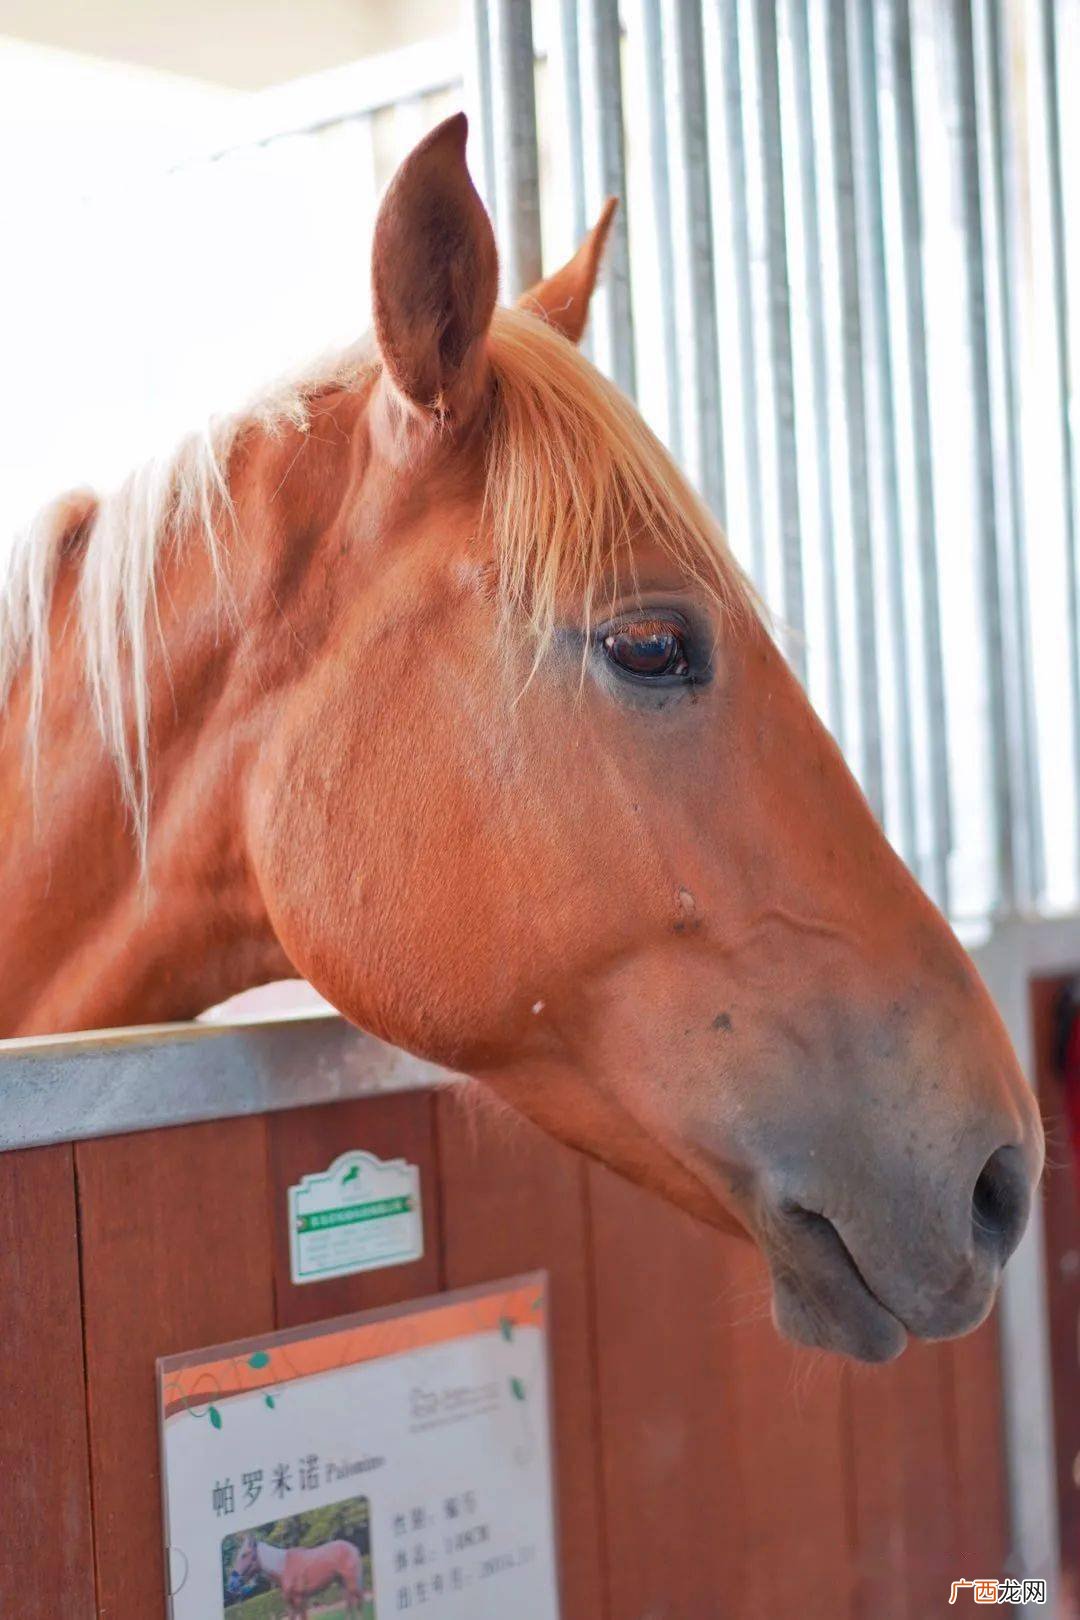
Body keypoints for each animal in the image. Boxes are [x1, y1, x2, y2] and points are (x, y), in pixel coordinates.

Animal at [227, 1532, 367, 1617]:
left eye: (244, 1554)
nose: (231, 1585)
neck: (283, 1567)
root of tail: (351, 1546)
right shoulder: (293, 1604)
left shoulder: (299, 1600)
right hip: (342, 1582)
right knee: (350, 1605)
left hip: (351, 1582)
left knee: (358, 1603)